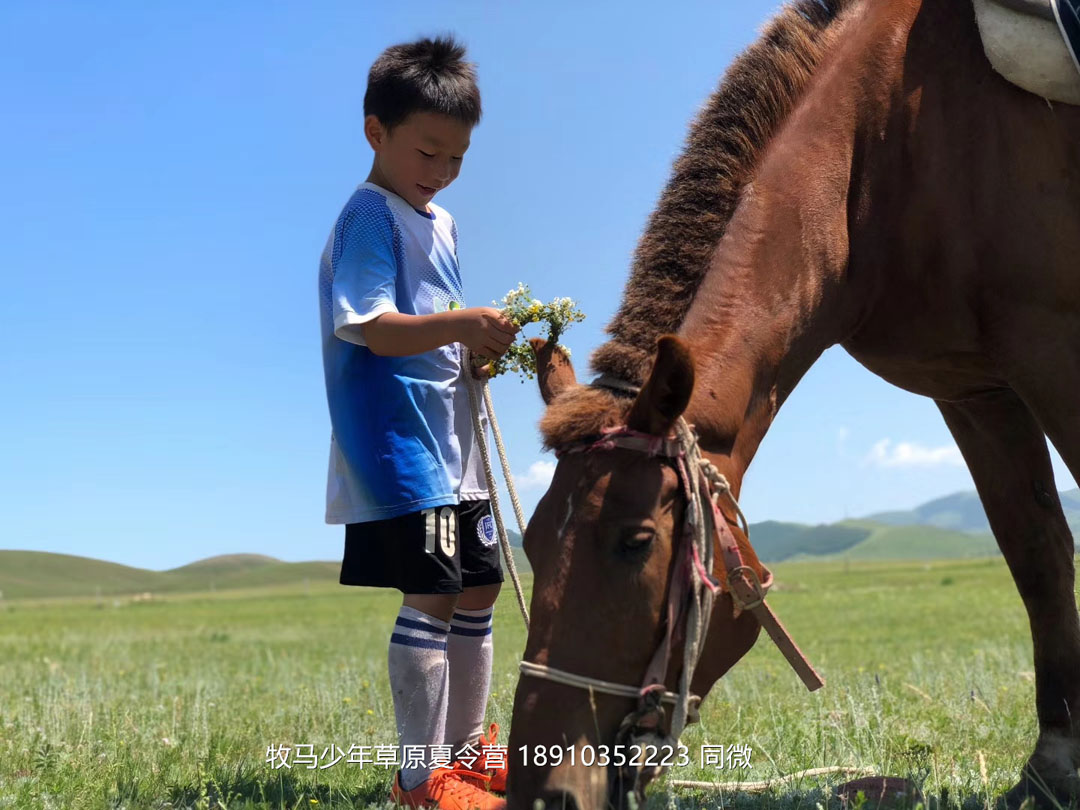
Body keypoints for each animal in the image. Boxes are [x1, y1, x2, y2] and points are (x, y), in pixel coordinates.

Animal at [505, 0, 1080, 807]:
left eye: (635, 542)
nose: (538, 789)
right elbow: (1037, 556)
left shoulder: (1053, 350)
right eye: (530, 543)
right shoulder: (974, 388)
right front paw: (1051, 765)